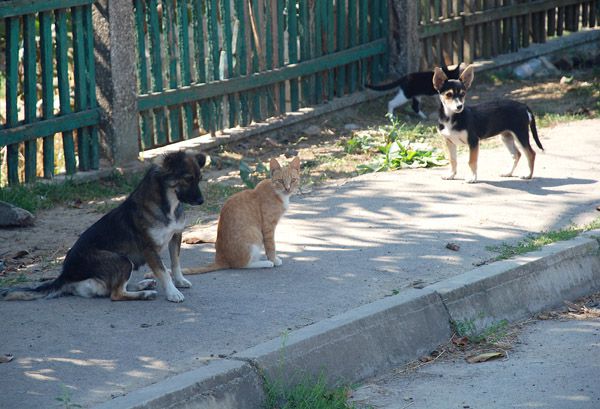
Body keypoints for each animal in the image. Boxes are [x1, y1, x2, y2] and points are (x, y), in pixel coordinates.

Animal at [0, 151, 206, 302]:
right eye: (187, 178)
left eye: (199, 179)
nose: (202, 201)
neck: (168, 204)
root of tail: (66, 276)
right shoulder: (149, 248)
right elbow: (163, 272)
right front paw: (172, 292)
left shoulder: (176, 236)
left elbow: (175, 263)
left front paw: (180, 281)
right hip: (122, 260)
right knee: (115, 293)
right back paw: (144, 293)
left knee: (115, 288)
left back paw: (144, 285)